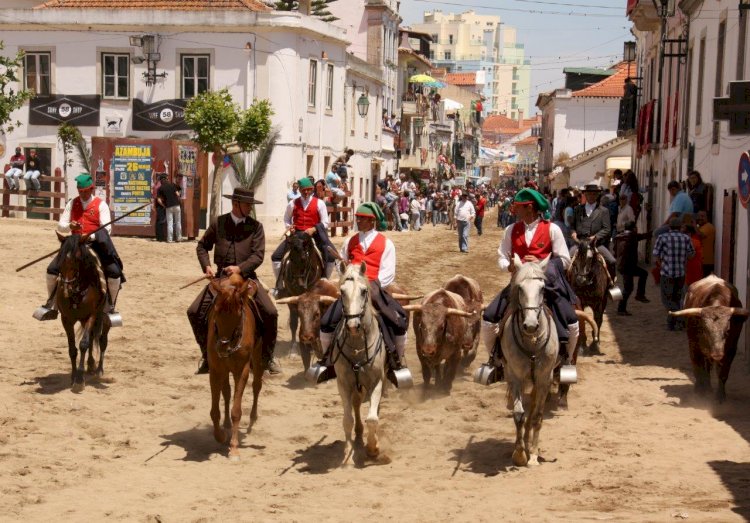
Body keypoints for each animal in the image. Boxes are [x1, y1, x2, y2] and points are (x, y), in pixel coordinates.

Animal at [55, 233, 111, 392]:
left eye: (76, 259)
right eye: (60, 257)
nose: (66, 290)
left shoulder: (92, 315)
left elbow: (84, 344)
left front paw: (79, 380)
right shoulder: (66, 319)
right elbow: (72, 348)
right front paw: (73, 376)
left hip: (103, 318)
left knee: (102, 340)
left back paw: (99, 370)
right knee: (92, 337)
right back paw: (91, 365)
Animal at [206, 272, 264, 460]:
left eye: (239, 314)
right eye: (216, 312)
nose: (223, 348)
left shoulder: (242, 370)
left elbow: (236, 410)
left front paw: (234, 448)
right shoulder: (216, 370)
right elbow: (215, 410)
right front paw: (220, 435)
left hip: (258, 356)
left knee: (257, 385)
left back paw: (252, 420)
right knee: (226, 392)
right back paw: (226, 425)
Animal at [332, 264, 384, 464]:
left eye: (363, 291)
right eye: (342, 291)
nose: (353, 325)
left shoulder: (377, 382)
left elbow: (373, 418)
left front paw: (373, 448)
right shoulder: (343, 383)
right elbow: (347, 419)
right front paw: (347, 452)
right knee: (356, 404)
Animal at [502, 254, 560, 466]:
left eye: (542, 288)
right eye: (520, 288)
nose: (530, 325)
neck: (532, 342)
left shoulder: (545, 378)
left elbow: (537, 416)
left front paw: (533, 455)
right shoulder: (516, 377)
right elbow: (519, 414)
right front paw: (519, 454)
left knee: (534, 408)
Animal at [672, 276, 748, 404]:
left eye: (728, 331)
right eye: (705, 330)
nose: (717, 353)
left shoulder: (731, 350)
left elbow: (723, 373)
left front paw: (720, 396)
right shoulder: (693, 346)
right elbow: (698, 368)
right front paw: (699, 392)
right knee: (703, 367)